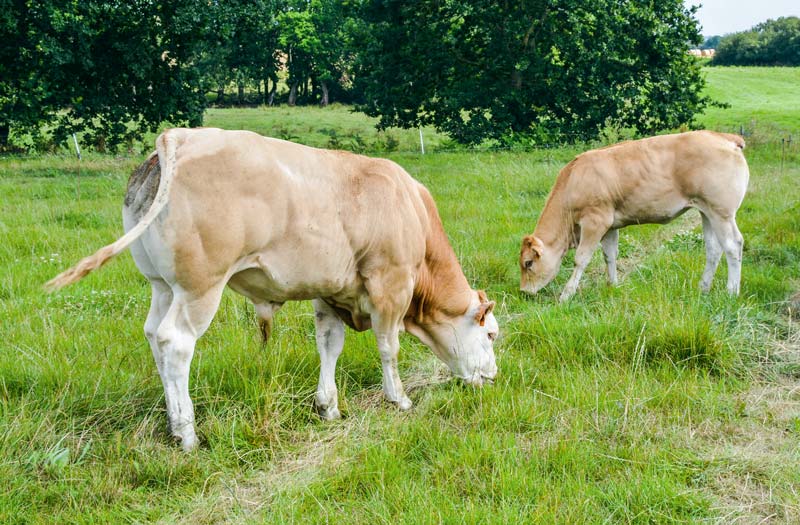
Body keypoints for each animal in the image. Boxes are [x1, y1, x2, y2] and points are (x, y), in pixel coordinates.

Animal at [47, 128, 496, 450]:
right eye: (491, 334)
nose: (493, 377)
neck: (410, 208)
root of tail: (180, 138)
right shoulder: (391, 285)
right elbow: (389, 348)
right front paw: (398, 399)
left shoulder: (330, 292)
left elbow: (329, 346)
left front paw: (328, 407)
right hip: (199, 289)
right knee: (175, 343)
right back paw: (187, 433)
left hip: (163, 286)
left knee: (153, 336)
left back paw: (173, 423)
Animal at [520, 130, 752, 300]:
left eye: (528, 263)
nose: (523, 292)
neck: (573, 180)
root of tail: (724, 137)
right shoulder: (610, 225)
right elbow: (609, 255)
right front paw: (612, 286)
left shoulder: (595, 220)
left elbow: (581, 259)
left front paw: (566, 295)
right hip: (706, 211)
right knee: (713, 249)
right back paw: (703, 288)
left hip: (722, 212)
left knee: (733, 245)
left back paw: (731, 292)